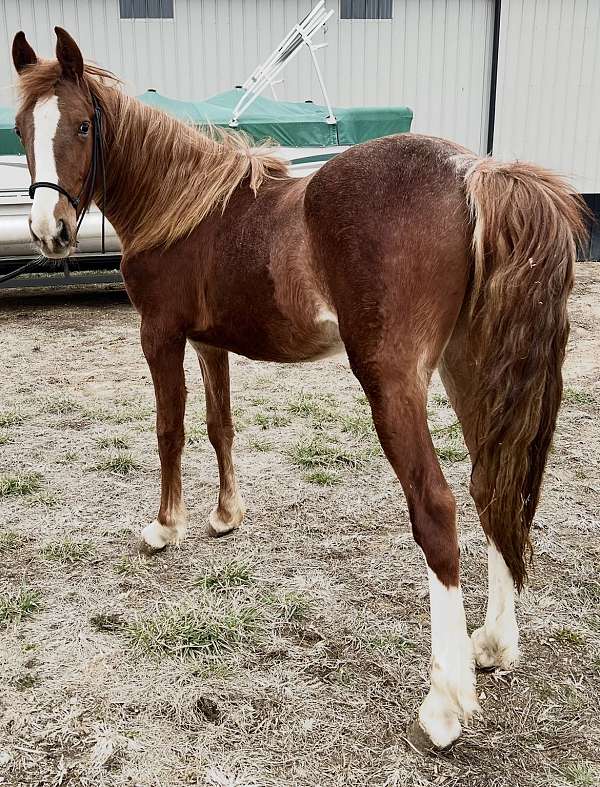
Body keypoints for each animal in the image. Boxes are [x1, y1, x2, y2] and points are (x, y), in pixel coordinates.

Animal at [12, 30, 584, 752]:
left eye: (82, 124)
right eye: (22, 128)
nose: (49, 230)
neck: (183, 207)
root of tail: (473, 173)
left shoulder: (160, 336)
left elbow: (169, 430)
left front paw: (165, 526)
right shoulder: (210, 343)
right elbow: (219, 427)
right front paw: (225, 515)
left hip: (393, 381)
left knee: (438, 507)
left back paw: (445, 701)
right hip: (470, 369)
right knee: (495, 487)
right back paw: (493, 643)